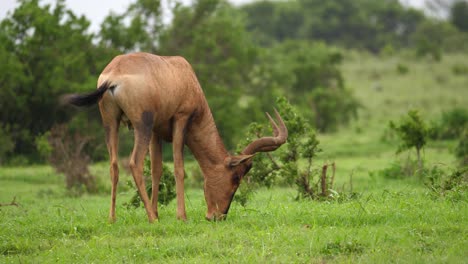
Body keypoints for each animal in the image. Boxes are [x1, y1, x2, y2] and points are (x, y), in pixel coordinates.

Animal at [64, 52, 288, 222]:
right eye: (236, 177)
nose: (217, 216)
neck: (183, 73)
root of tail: (113, 76)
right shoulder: (181, 119)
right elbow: (179, 168)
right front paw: (181, 216)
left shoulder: (156, 132)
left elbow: (157, 169)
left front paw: (157, 212)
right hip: (142, 125)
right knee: (134, 163)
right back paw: (150, 219)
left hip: (111, 123)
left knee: (114, 166)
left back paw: (113, 218)